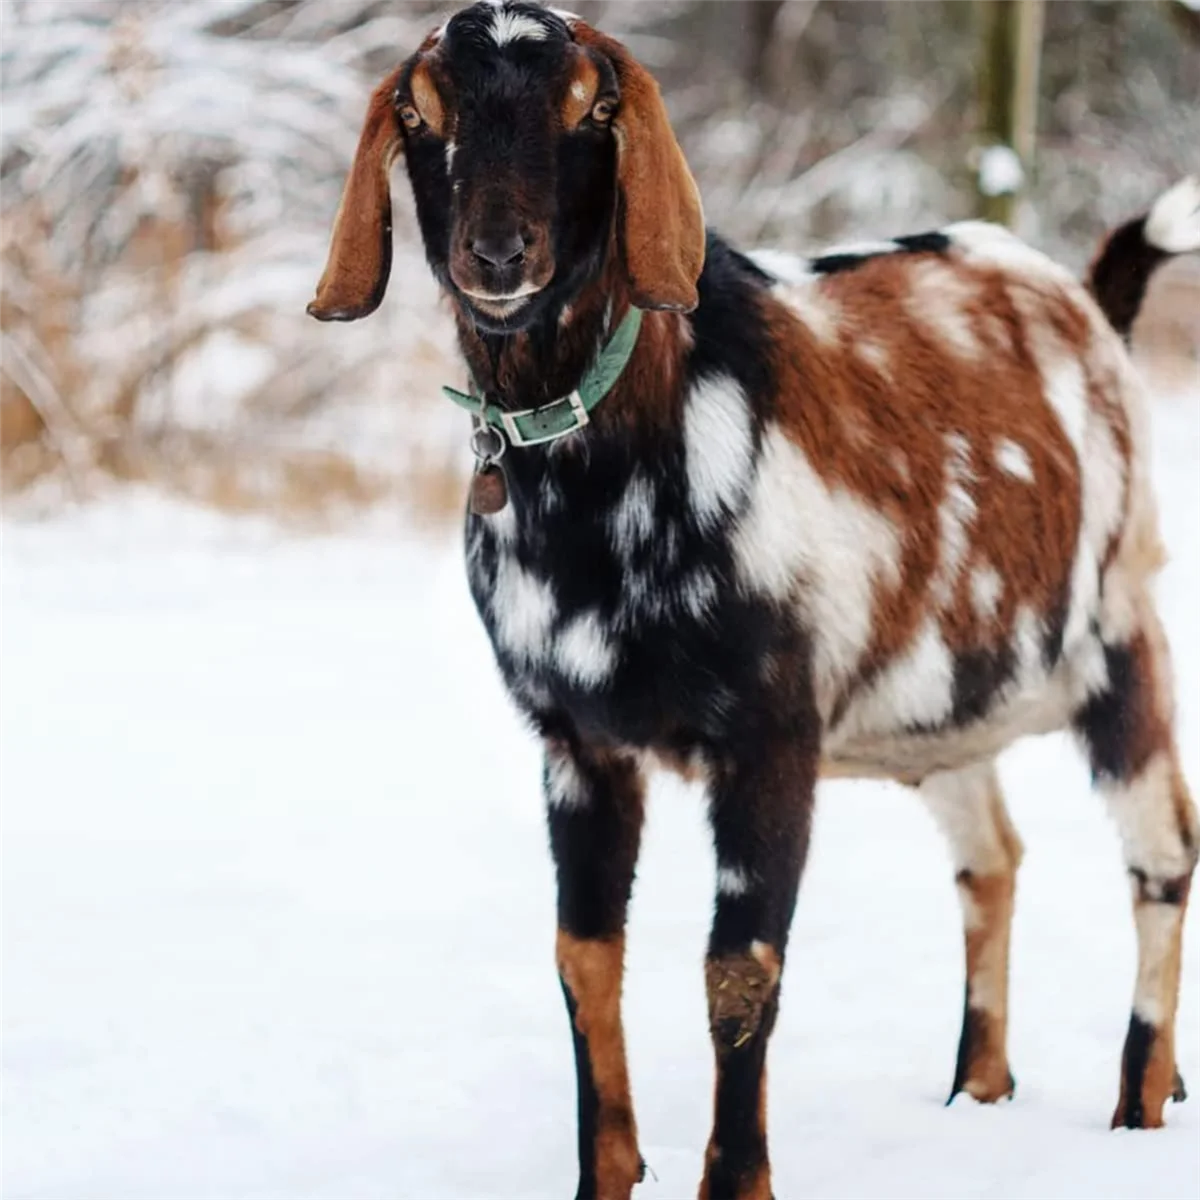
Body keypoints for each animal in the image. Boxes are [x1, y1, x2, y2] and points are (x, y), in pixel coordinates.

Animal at [309, 4, 1200, 1195]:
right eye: (419, 109)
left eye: (593, 104)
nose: (498, 254)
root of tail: (1088, 305)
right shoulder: (575, 739)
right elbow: (583, 955)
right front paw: (607, 1172)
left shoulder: (771, 727)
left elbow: (741, 967)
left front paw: (736, 1179)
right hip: (948, 701)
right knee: (992, 857)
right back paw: (980, 1087)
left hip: (1119, 630)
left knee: (1162, 855)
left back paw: (1139, 1105)